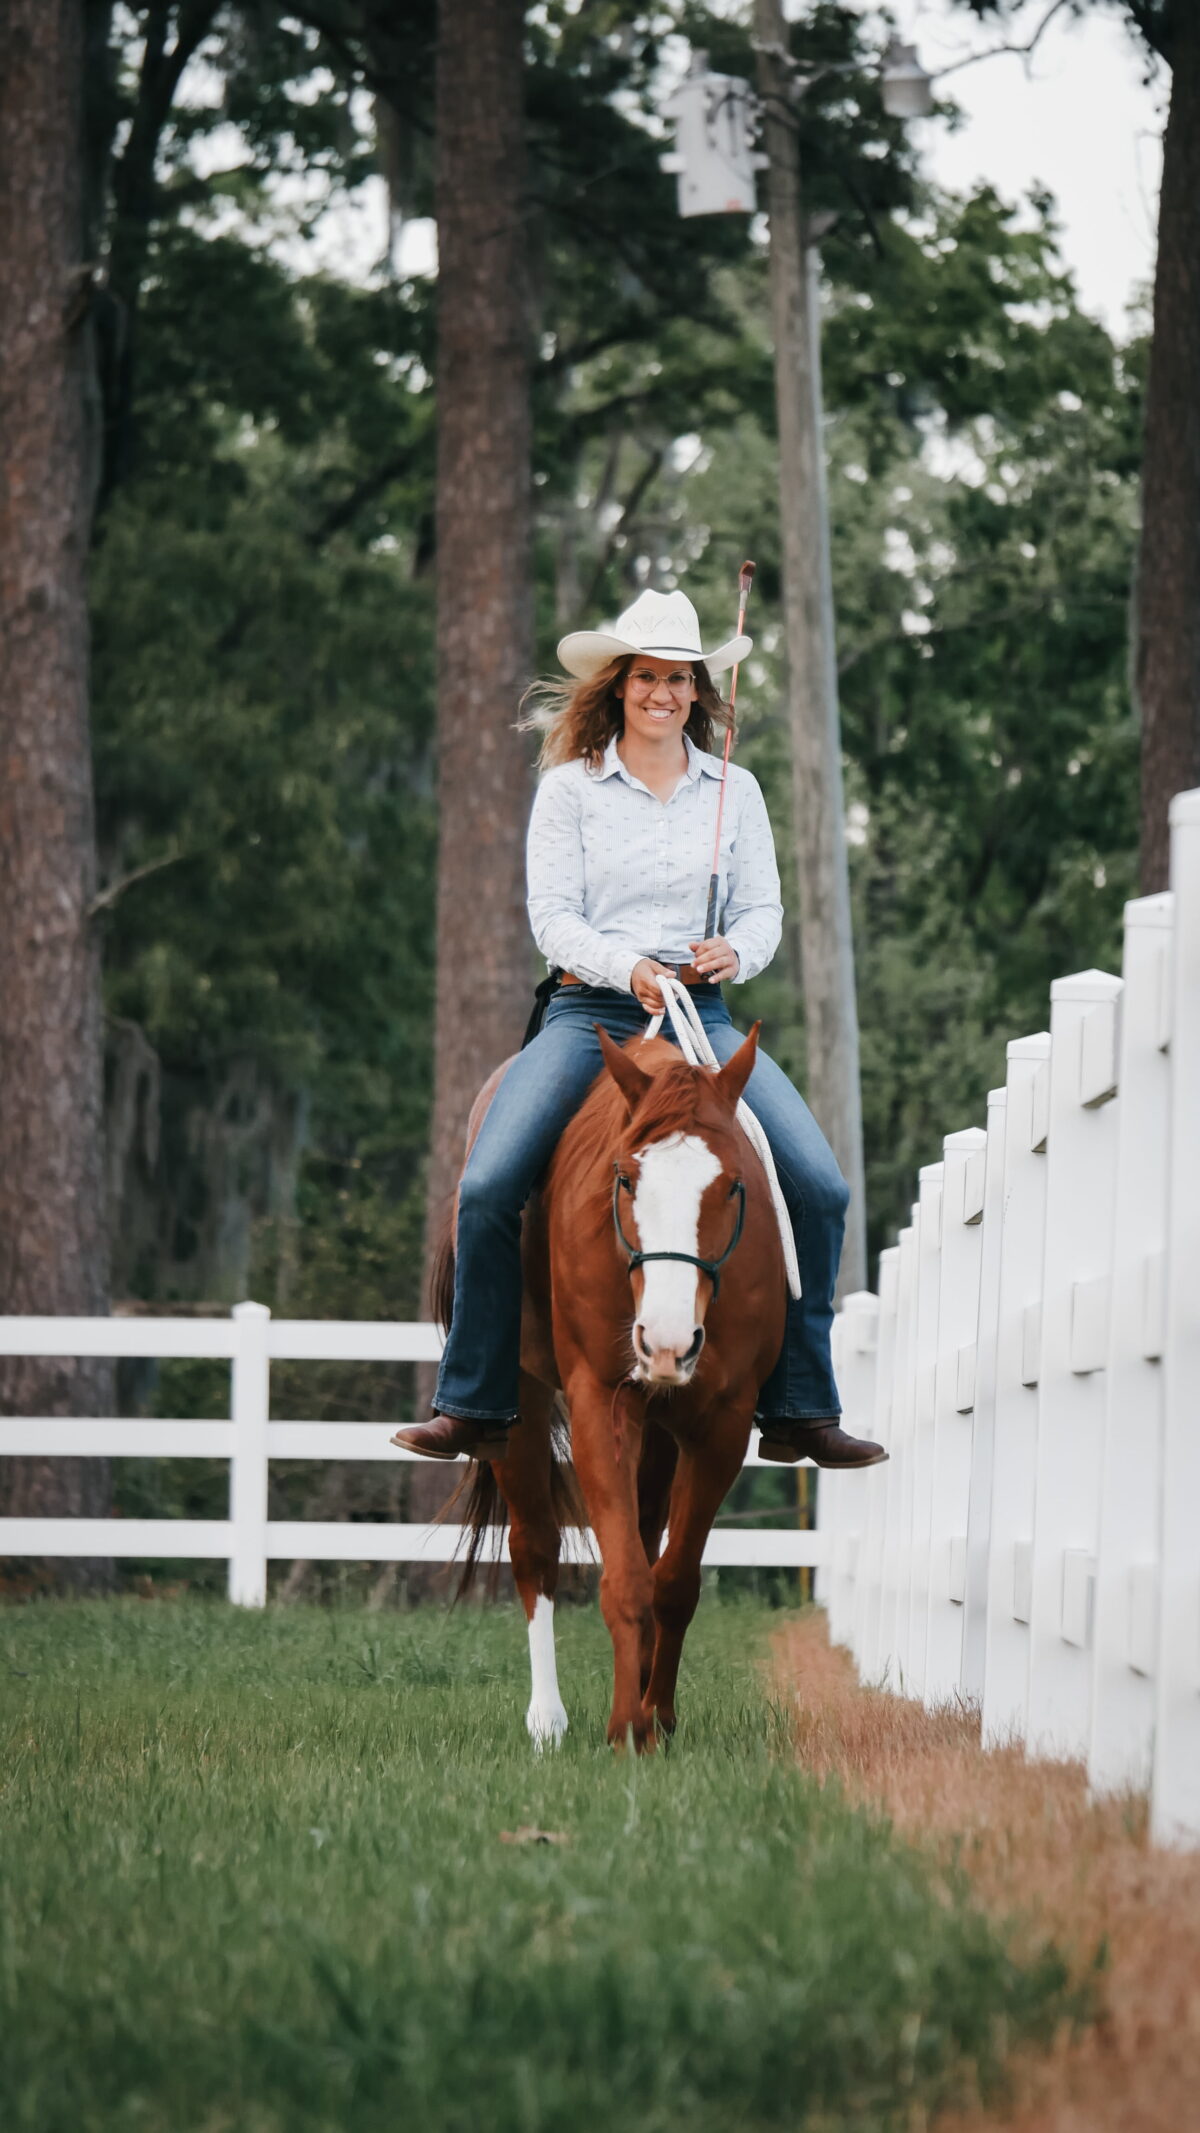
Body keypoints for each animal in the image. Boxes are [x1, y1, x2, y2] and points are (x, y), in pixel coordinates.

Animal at [437, 1020, 786, 1752]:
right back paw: (547, 1719)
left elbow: (672, 1581)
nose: (667, 1341)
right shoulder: (600, 1402)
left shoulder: (722, 1423)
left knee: (649, 1539)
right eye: (626, 1178)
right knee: (535, 1548)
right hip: (520, 1401)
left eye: (733, 1184)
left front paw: (657, 1719)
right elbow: (625, 1578)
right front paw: (626, 1727)